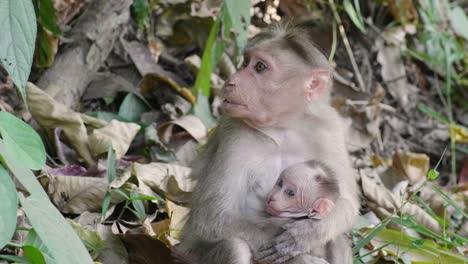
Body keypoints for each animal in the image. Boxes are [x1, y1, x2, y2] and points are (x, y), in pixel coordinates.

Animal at [176, 19, 358, 264]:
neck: (282, 128)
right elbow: (211, 218)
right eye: (246, 62)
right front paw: (302, 253)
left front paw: (306, 235)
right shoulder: (235, 133)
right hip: (192, 257)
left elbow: (347, 203)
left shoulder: (330, 128)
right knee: (235, 246)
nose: (231, 81)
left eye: (260, 67)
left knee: (338, 238)